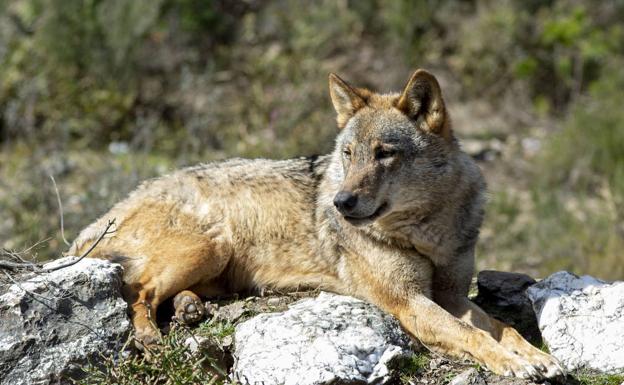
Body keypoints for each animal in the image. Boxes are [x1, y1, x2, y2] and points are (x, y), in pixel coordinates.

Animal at [69, 69, 564, 378]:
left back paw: (190, 309)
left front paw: (536, 357)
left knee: (165, 292)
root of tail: (116, 206)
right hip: (213, 244)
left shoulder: (452, 293)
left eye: (384, 153)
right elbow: (470, 334)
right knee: (139, 292)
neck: (429, 231)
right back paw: (151, 336)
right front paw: (514, 363)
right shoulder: (406, 301)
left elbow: (502, 327)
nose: (341, 202)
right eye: (349, 154)